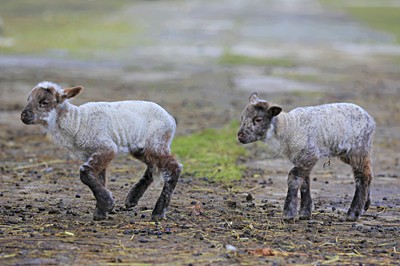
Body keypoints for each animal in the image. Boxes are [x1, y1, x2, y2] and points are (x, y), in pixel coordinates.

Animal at [22, 80, 182, 220]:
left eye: (44, 102)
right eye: (28, 99)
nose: (24, 116)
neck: (77, 123)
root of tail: (170, 119)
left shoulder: (106, 147)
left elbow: (85, 172)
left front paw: (107, 204)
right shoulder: (92, 153)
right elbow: (98, 177)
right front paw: (102, 211)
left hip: (156, 141)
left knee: (174, 167)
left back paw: (158, 212)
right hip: (142, 147)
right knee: (153, 166)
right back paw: (132, 198)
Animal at [238, 92, 376, 221]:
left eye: (258, 119)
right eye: (242, 118)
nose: (240, 136)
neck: (288, 127)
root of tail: (370, 119)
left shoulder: (310, 154)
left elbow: (293, 178)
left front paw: (289, 213)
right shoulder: (301, 158)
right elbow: (305, 182)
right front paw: (305, 212)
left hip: (358, 149)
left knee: (362, 176)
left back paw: (353, 213)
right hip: (349, 153)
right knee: (368, 173)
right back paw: (365, 205)